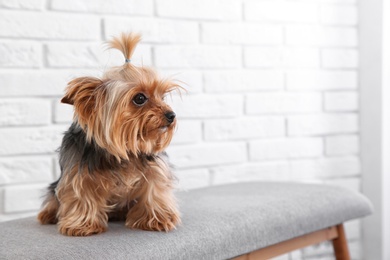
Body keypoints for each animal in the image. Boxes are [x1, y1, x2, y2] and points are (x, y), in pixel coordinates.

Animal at [37, 32, 182, 236]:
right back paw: (48, 214)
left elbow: (155, 189)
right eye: (139, 98)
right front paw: (83, 225)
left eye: (162, 96)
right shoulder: (78, 172)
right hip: (54, 186)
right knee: (52, 195)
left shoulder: (154, 167)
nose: (171, 115)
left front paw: (157, 219)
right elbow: (81, 194)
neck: (124, 151)